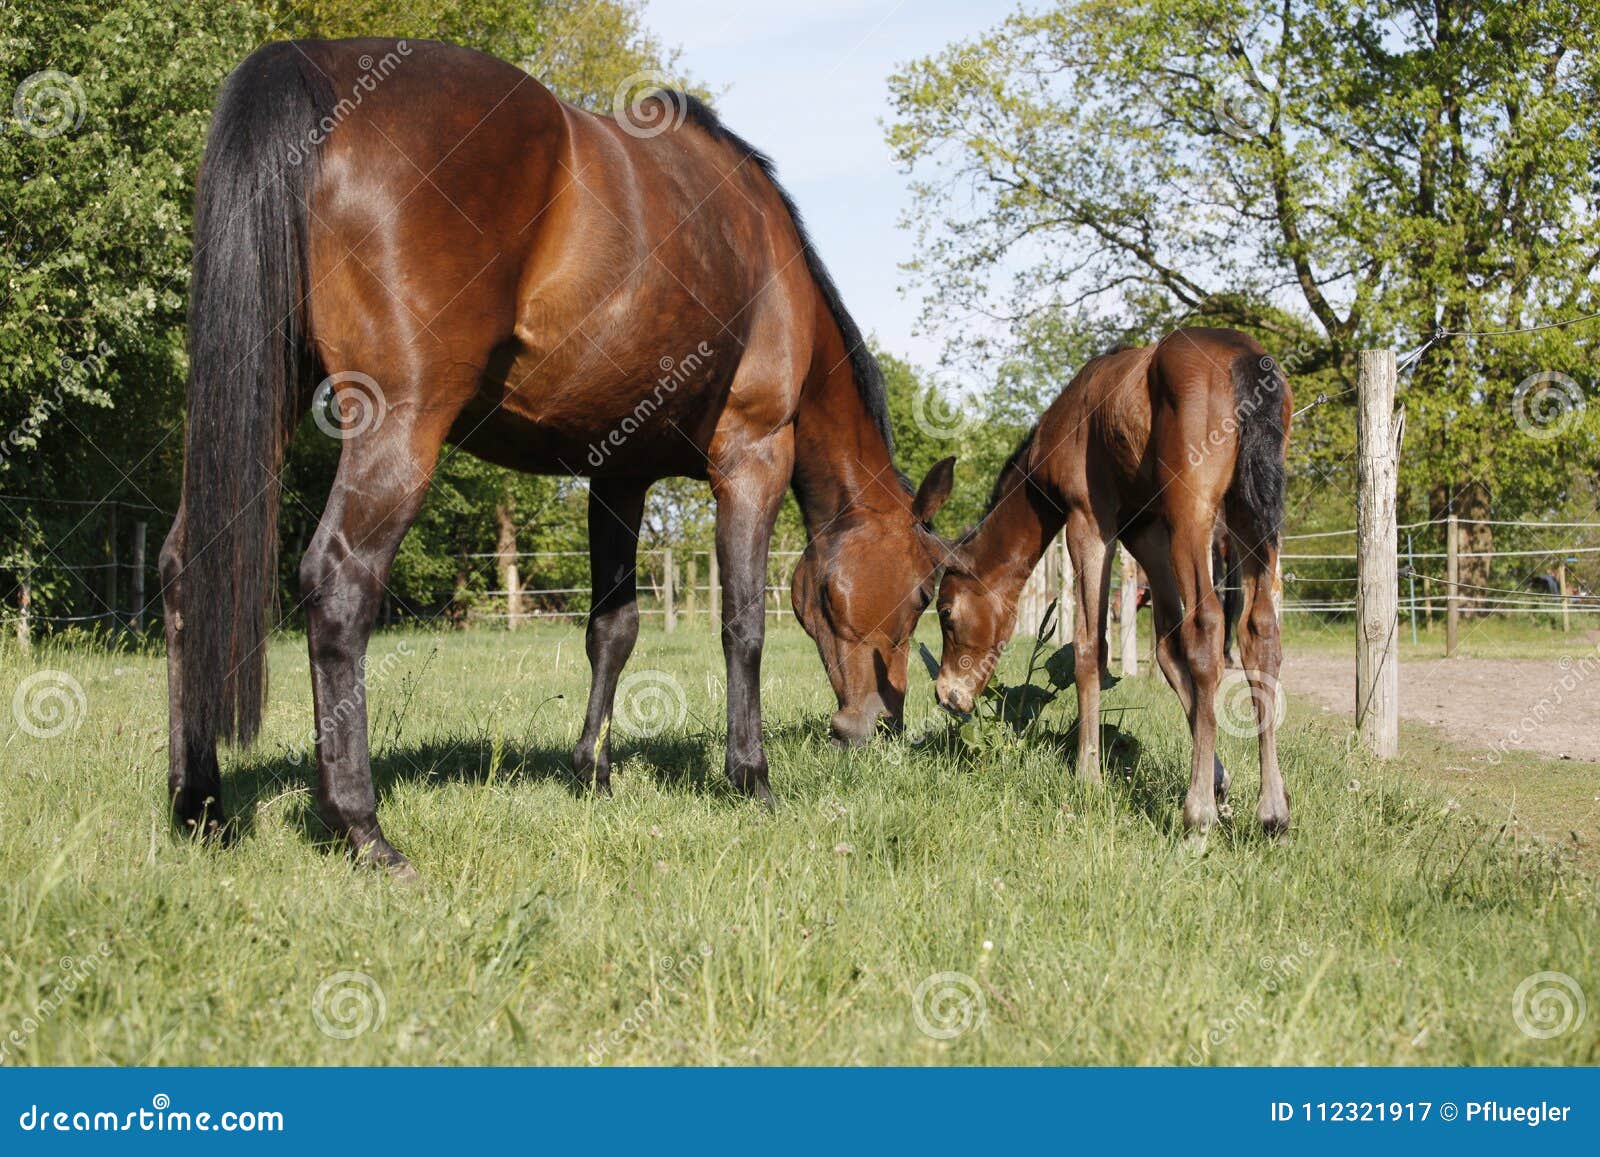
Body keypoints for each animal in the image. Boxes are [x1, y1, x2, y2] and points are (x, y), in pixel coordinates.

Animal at [162, 38, 958, 873]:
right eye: (923, 592)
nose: (881, 724)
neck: (769, 258)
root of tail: (308, 63)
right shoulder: (752, 455)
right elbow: (742, 624)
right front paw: (752, 778)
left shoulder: (619, 474)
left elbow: (613, 629)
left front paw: (593, 772)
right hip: (399, 422)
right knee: (340, 585)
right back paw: (363, 828)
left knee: (186, 565)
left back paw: (201, 805)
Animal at [932, 328, 1292, 834]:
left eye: (946, 612)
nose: (947, 695)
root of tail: (1243, 355)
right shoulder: (1147, 534)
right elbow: (1167, 649)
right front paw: (1219, 776)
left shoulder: (1088, 522)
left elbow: (1090, 648)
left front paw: (1089, 775)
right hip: (1249, 515)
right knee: (1260, 633)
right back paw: (1272, 812)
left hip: (1193, 514)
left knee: (1208, 628)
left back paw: (1197, 814)